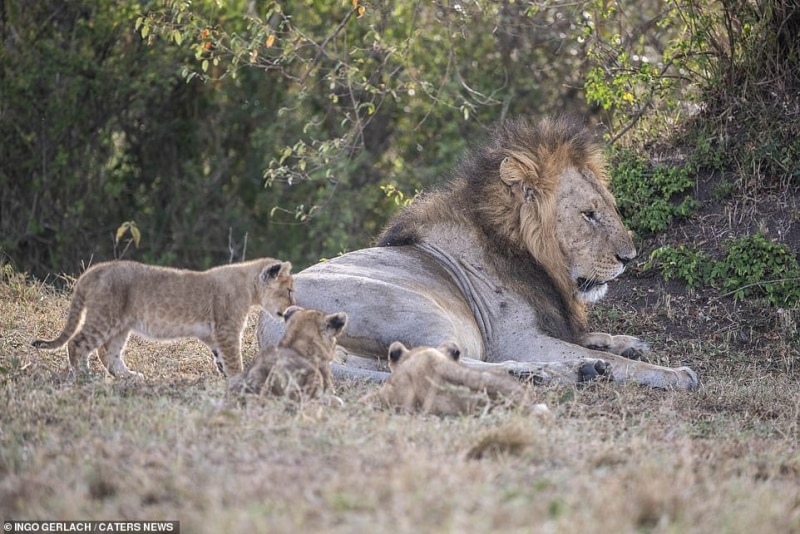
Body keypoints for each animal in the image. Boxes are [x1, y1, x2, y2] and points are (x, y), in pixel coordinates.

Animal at [35, 260, 294, 382]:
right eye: (289, 289)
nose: (291, 308)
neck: (249, 285)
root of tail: (93, 270)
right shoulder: (227, 329)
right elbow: (232, 358)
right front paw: (239, 379)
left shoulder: (213, 334)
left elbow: (220, 357)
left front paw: (226, 375)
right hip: (105, 317)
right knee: (77, 343)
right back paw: (85, 375)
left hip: (121, 325)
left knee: (107, 353)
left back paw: (129, 377)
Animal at [260, 117, 696, 392]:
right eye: (588, 214)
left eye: (609, 207)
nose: (630, 257)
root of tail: (265, 332)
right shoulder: (514, 338)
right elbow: (622, 363)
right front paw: (674, 374)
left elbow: (595, 337)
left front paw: (624, 343)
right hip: (416, 310)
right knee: (428, 358)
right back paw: (560, 372)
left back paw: (560, 373)